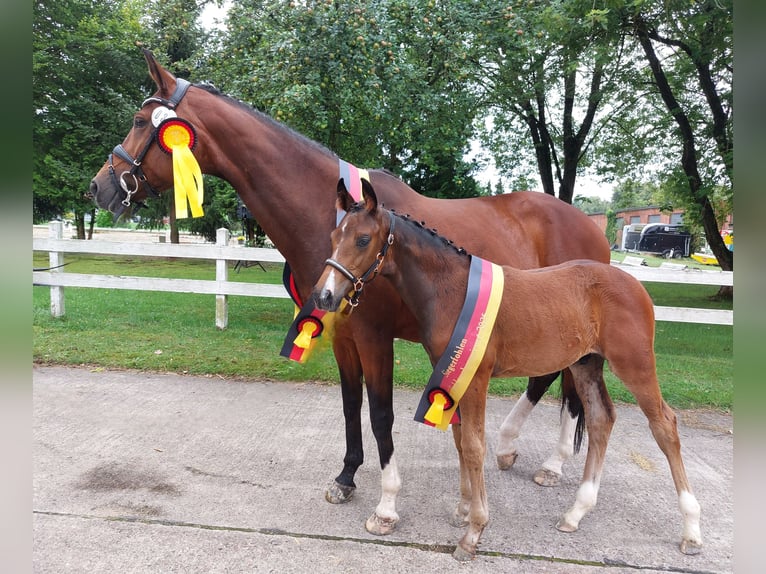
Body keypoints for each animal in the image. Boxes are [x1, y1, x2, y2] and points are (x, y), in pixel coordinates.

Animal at [88, 48, 611, 536]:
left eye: (140, 121)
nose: (100, 188)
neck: (336, 216)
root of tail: (590, 226)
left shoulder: (375, 336)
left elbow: (380, 414)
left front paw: (387, 503)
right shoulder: (339, 332)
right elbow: (349, 407)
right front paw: (345, 478)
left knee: (567, 391)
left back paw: (550, 465)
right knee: (551, 382)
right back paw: (511, 450)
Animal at [313, 179, 702, 560]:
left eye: (363, 239)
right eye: (333, 236)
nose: (324, 296)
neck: (453, 290)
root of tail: (636, 285)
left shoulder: (476, 378)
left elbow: (473, 446)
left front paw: (474, 531)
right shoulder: (452, 374)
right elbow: (459, 439)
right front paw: (463, 509)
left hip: (634, 364)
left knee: (664, 425)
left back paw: (692, 529)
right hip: (586, 364)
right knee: (600, 419)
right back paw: (576, 512)